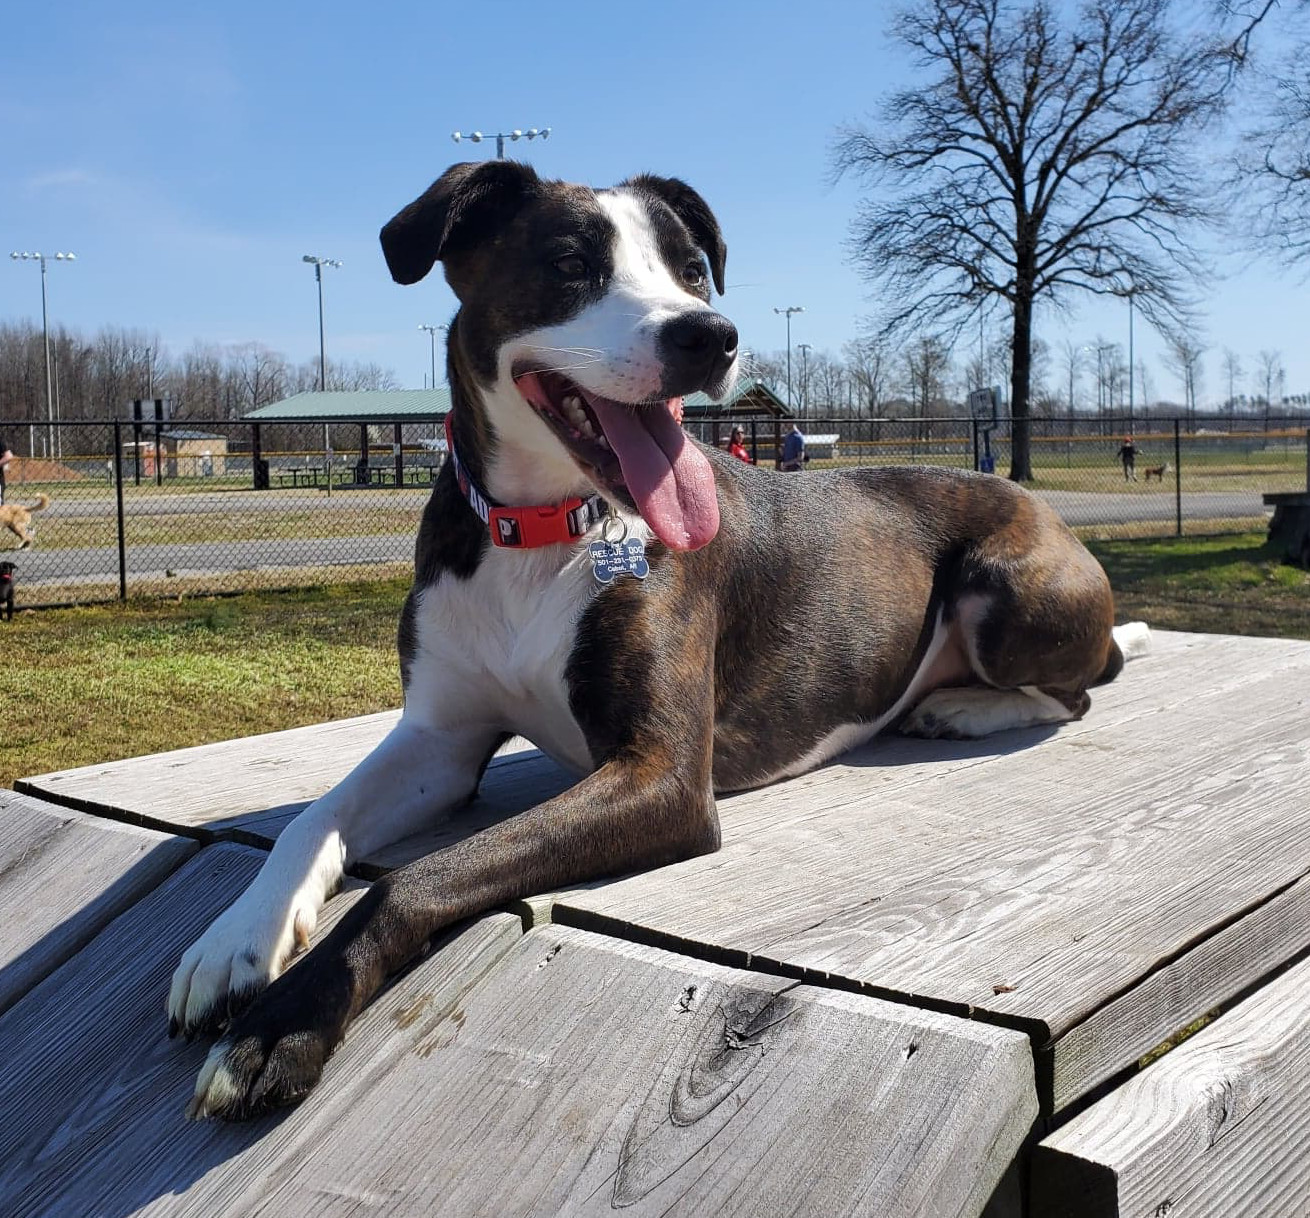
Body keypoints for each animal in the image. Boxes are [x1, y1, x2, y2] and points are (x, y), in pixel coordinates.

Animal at [171, 161, 1147, 1121]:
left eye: (691, 269)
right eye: (570, 262)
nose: (708, 335)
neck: (543, 528)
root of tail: (1043, 509)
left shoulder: (664, 776)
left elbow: (413, 878)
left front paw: (281, 1028)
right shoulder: (439, 742)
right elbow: (312, 820)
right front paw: (235, 940)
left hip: (1004, 587)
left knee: (1084, 685)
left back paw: (963, 709)